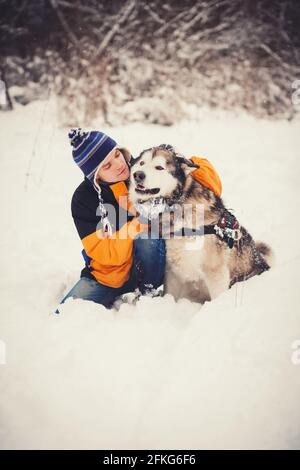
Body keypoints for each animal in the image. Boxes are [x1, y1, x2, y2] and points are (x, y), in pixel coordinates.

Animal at [127, 144, 274, 304]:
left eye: (159, 167)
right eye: (141, 163)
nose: (138, 175)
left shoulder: (215, 272)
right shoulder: (172, 272)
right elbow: (170, 295)